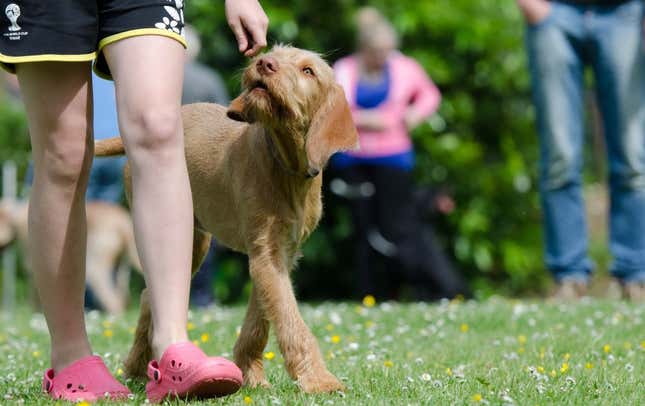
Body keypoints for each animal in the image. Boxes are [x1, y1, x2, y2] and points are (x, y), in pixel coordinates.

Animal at [95, 45, 358, 394]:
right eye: (274, 53)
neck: (286, 165)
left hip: (194, 242)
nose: (264, 62)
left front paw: (250, 373)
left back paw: (139, 367)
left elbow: (261, 319)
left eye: (308, 71)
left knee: (149, 296)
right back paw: (139, 367)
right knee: (149, 295)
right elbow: (290, 318)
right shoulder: (266, 253)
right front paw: (318, 379)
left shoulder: (278, 255)